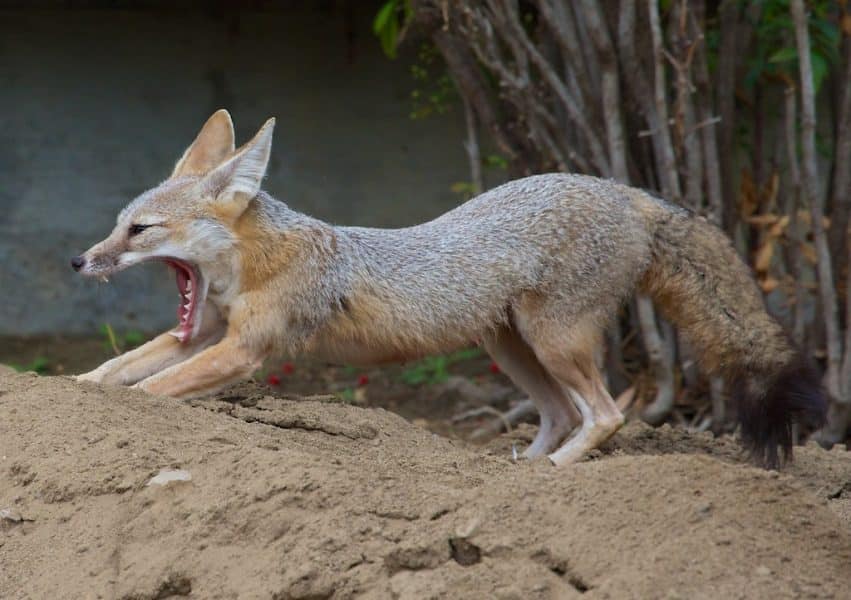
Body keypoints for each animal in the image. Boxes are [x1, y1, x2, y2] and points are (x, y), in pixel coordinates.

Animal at [70, 111, 828, 468]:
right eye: (115, 225)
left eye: (139, 230)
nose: (81, 260)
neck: (255, 263)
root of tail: (625, 191)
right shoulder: (201, 331)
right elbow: (115, 368)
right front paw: (72, 390)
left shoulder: (244, 349)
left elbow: (152, 388)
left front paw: (123, 412)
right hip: (512, 349)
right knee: (562, 415)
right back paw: (513, 472)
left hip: (553, 343)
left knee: (608, 415)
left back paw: (554, 475)